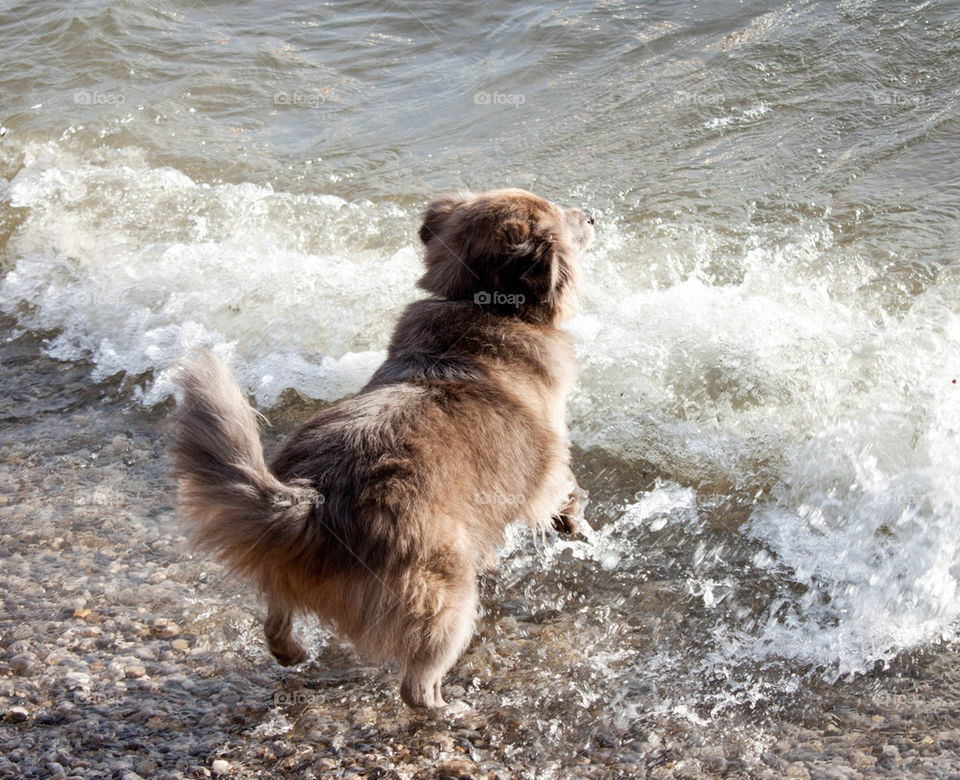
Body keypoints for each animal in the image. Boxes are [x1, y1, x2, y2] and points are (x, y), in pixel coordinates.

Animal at [169, 187, 596, 708]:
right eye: (562, 219)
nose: (591, 215)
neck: (481, 306)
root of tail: (315, 502)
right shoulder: (549, 469)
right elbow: (566, 491)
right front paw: (575, 522)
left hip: (286, 572)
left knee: (274, 620)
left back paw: (293, 653)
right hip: (448, 600)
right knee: (418, 684)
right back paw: (451, 709)